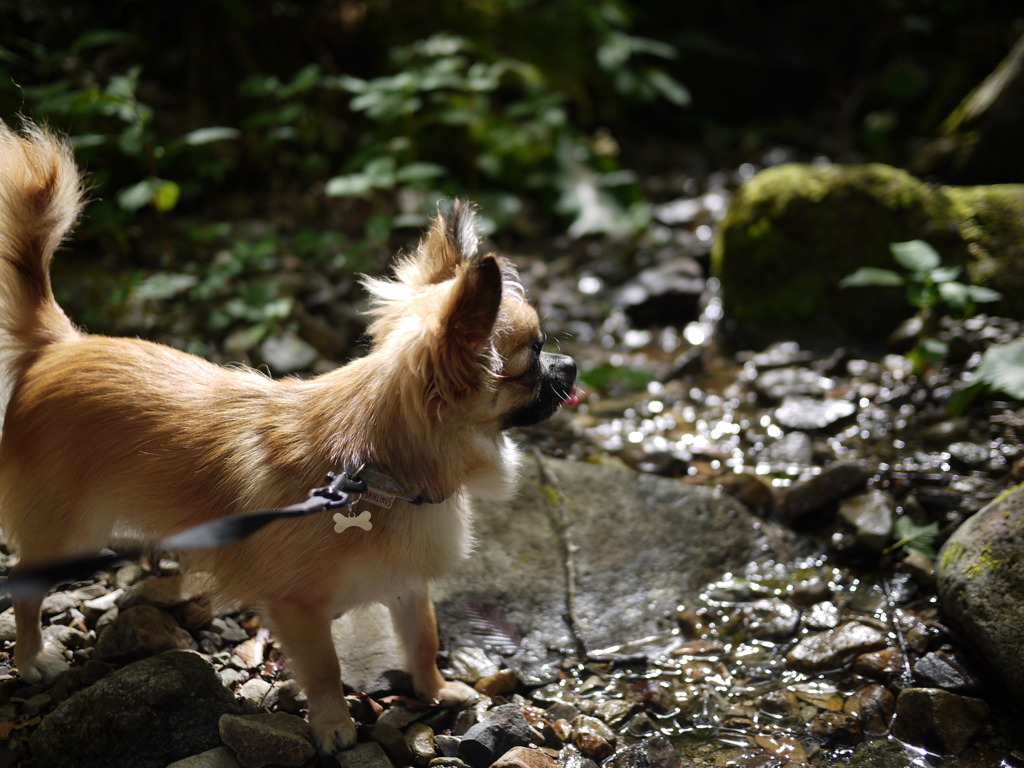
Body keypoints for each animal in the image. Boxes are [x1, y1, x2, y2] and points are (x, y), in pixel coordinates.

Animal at [0, 123, 577, 753]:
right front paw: (334, 725)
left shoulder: (405, 584)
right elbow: (324, 666)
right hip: (67, 536)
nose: (572, 366)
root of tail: (61, 346)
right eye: (535, 357)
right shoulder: (298, 609)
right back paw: (31, 660)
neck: (373, 474)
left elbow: (422, 637)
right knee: (27, 593)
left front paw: (436, 691)